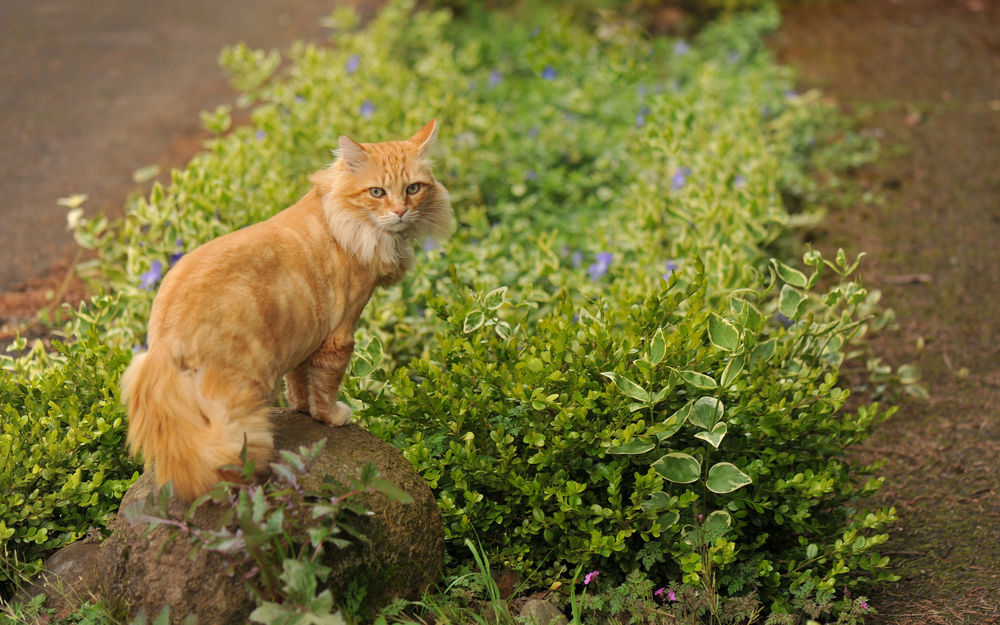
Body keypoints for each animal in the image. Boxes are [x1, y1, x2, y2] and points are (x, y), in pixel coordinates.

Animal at [118, 122, 458, 500]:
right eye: (377, 192)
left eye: (413, 189)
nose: (400, 212)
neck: (341, 219)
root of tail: (162, 338)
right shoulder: (340, 335)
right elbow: (325, 389)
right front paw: (332, 416)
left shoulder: (303, 333)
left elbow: (299, 385)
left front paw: (300, 409)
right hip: (244, 388)